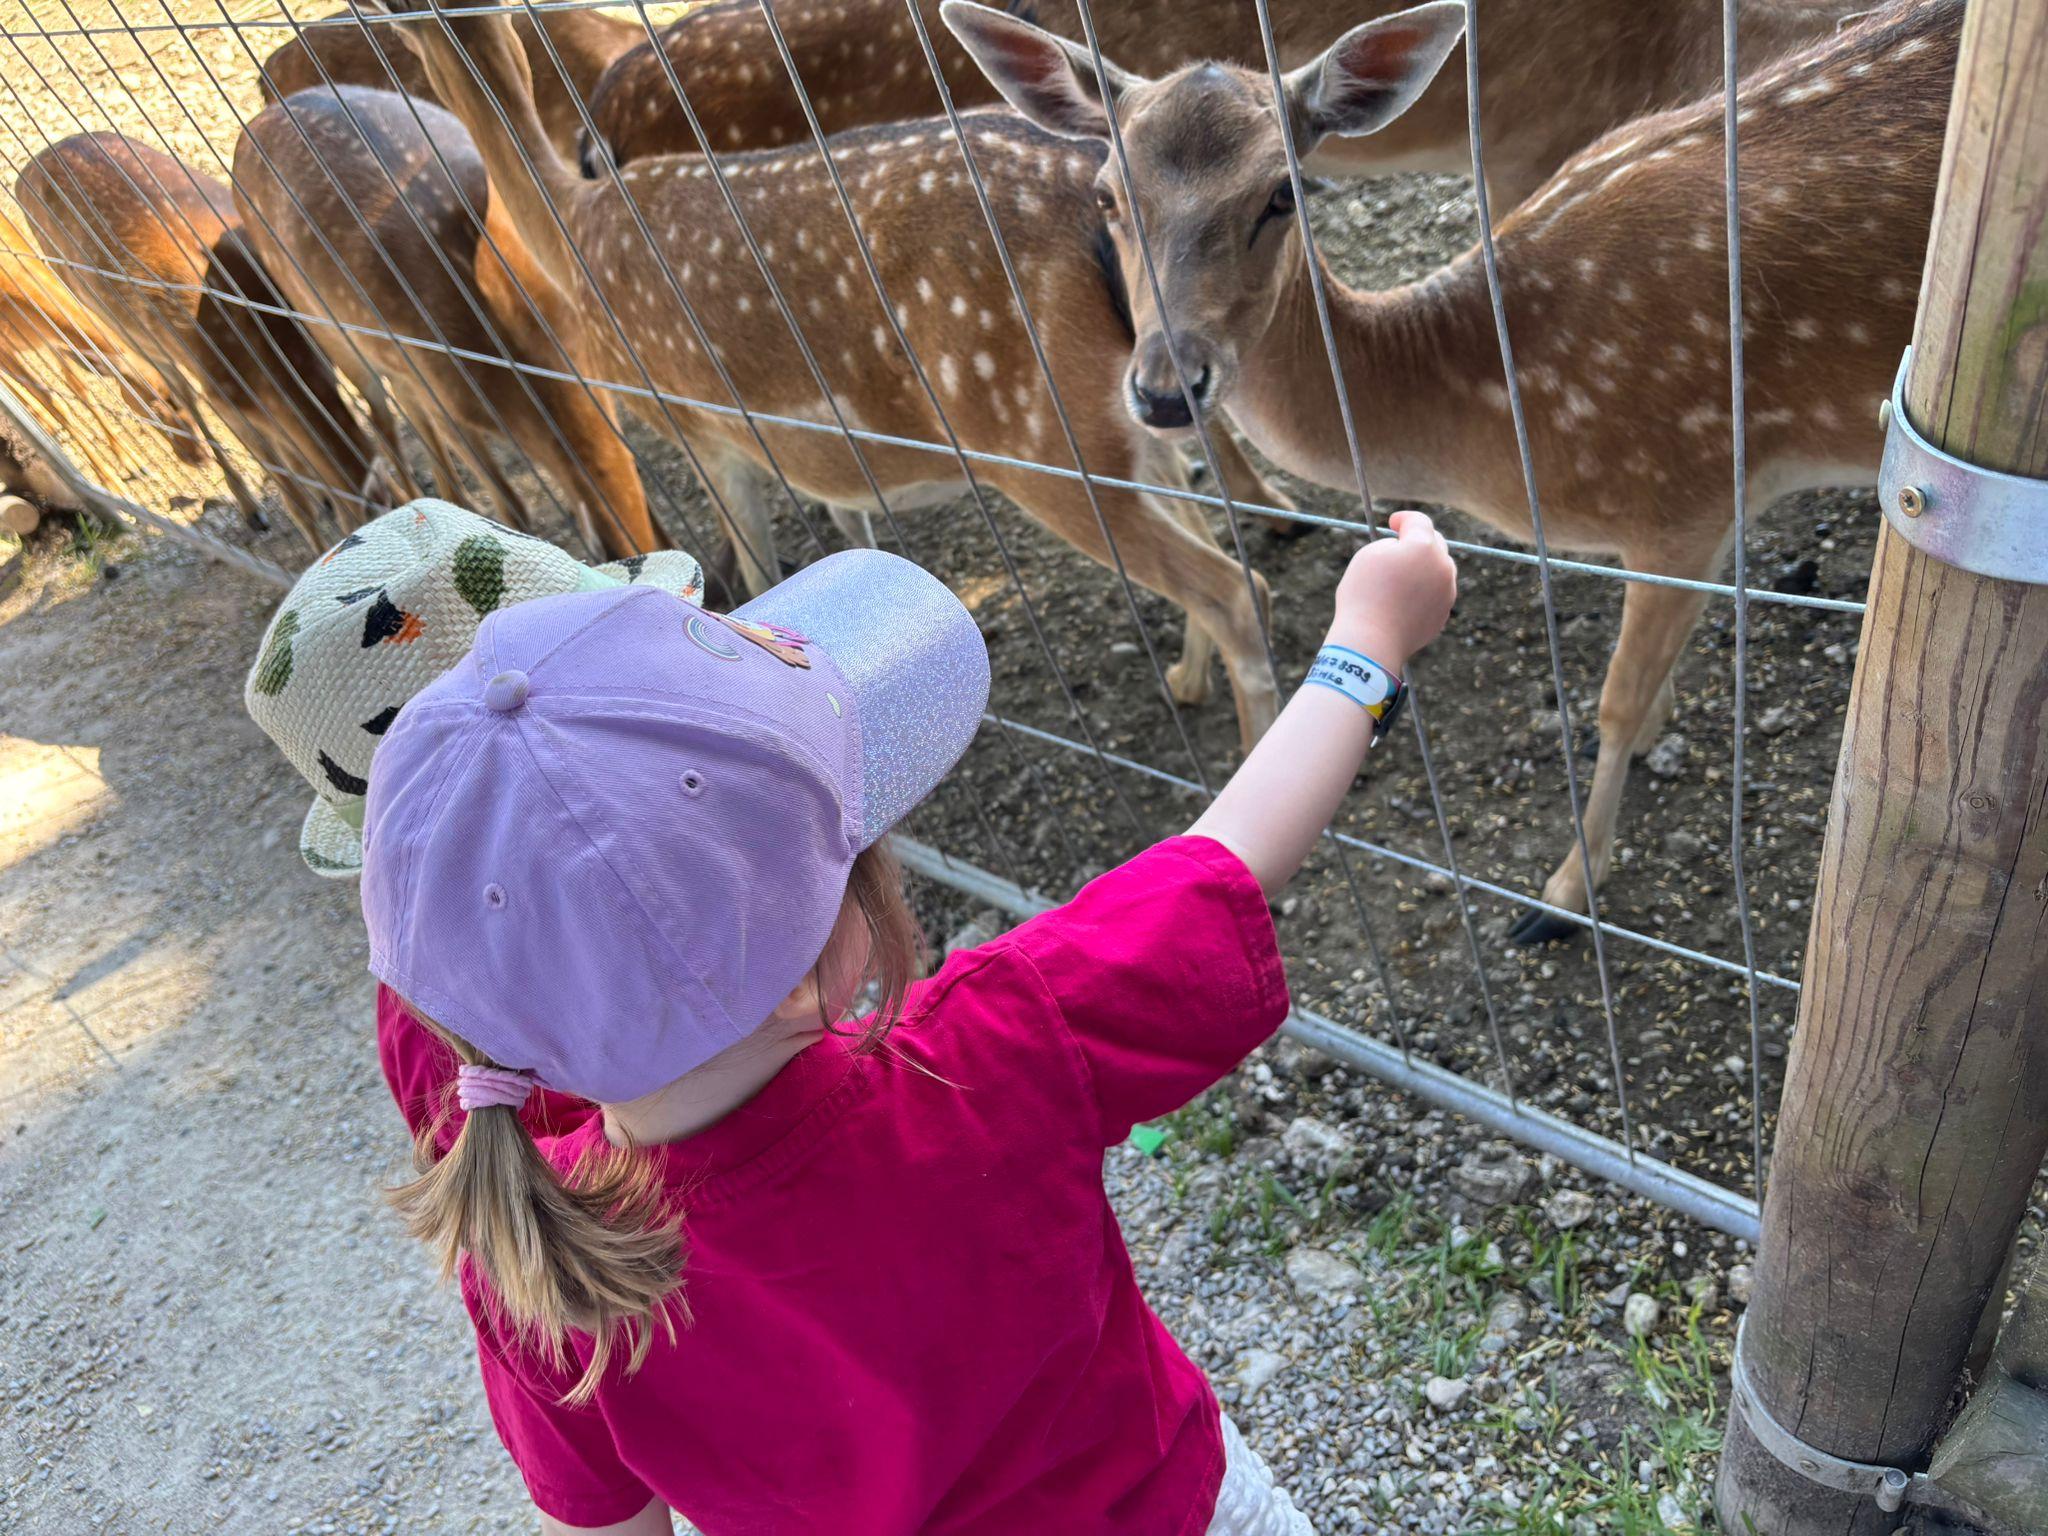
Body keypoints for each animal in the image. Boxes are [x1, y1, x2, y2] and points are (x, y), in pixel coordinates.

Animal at [15, 133, 396, 547]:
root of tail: (29, 169)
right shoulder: (228, 401)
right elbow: (294, 500)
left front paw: (322, 493)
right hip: (122, 328)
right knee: (183, 396)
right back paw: (248, 506)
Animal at [385, 0, 1288, 747]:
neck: (571, 235)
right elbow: (842, 539)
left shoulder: (697, 426)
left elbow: (752, 572)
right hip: (1122, 419)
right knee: (1202, 520)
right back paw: (1187, 679)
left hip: (1041, 439)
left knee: (1234, 587)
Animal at [946, 0, 1958, 941]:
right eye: (1106, 196)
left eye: (1282, 193)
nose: (1164, 389)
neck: (1495, 415)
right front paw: (1657, 733)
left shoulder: (1686, 488)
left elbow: (1615, 699)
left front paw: (1564, 892)